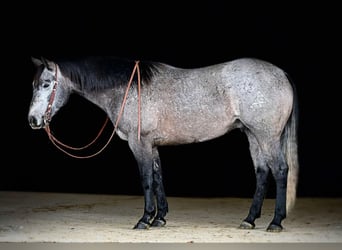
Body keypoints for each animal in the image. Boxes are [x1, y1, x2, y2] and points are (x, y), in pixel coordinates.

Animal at [28, 55, 298, 231]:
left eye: (46, 84)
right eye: (34, 84)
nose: (33, 120)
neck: (129, 88)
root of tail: (282, 74)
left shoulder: (139, 144)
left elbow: (146, 179)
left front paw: (144, 219)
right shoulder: (153, 146)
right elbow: (158, 178)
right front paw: (159, 218)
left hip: (267, 136)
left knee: (280, 170)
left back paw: (275, 222)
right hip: (253, 135)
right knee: (262, 172)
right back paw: (249, 219)